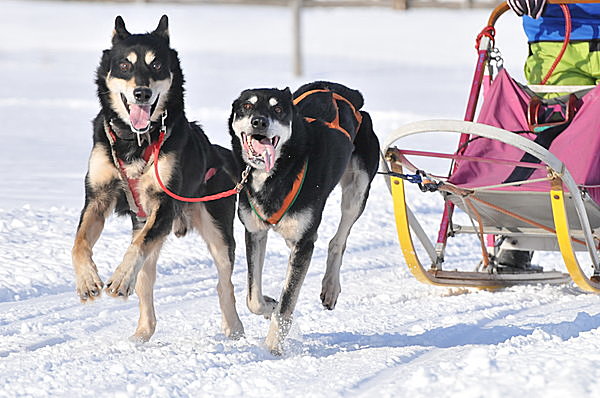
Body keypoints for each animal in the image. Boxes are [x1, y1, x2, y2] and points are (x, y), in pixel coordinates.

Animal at [72, 16, 244, 342]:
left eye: (156, 65)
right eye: (124, 65)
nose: (142, 93)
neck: (135, 140)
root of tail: (220, 155)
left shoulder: (164, 204)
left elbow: (136, 249)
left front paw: (118, 279)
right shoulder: (97, 198)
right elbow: (79, 243)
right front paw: (87, 280)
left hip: (216, 232)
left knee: (224, 283)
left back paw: (234, 328)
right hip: (146, 226)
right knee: (144, 279)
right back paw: (142, 331)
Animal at [230, 81, 380, 354]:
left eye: (277, 109)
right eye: (247, 105)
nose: (259, 122)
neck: (276, 174)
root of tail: (339, 89)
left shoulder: (303, 242)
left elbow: (286, 303)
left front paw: (273, 347)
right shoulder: (254, 232)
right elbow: (253, 298)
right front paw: (269, 305)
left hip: (357, 191)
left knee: (338, 241)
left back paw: (330, 286)